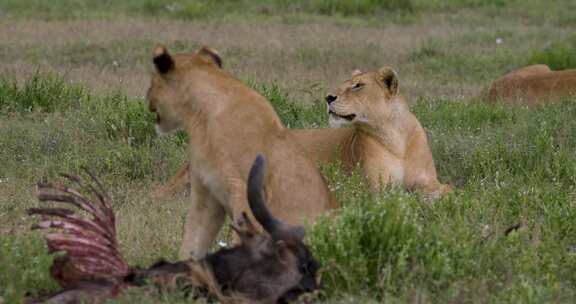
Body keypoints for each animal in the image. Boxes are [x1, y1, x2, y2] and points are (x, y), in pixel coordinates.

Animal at [155, 65, 452, 201]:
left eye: (357, 86)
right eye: (344, 84)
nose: (329, 97)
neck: (393, 135)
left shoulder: (428, 179)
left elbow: (448, 189)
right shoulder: (374, 189)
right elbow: (400, 195)